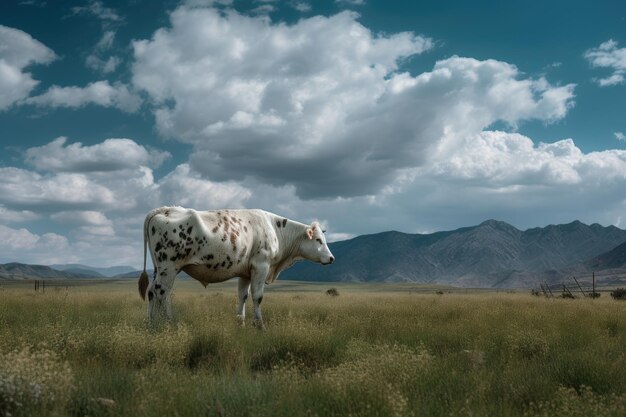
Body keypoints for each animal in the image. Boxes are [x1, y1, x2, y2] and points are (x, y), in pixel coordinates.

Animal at [136, 206, 332, 328]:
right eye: (318, 240)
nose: (331, 258)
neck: (274, 229)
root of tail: (166, 209)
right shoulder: (261, 266)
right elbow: (258, 297)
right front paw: (260, 326)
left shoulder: (245, 272)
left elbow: (242, 296)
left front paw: (241, 324)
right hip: (169, 267)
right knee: (162, 292)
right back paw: (169, 323)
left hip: (159, 268)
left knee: (152, 292)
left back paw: (150, 324)